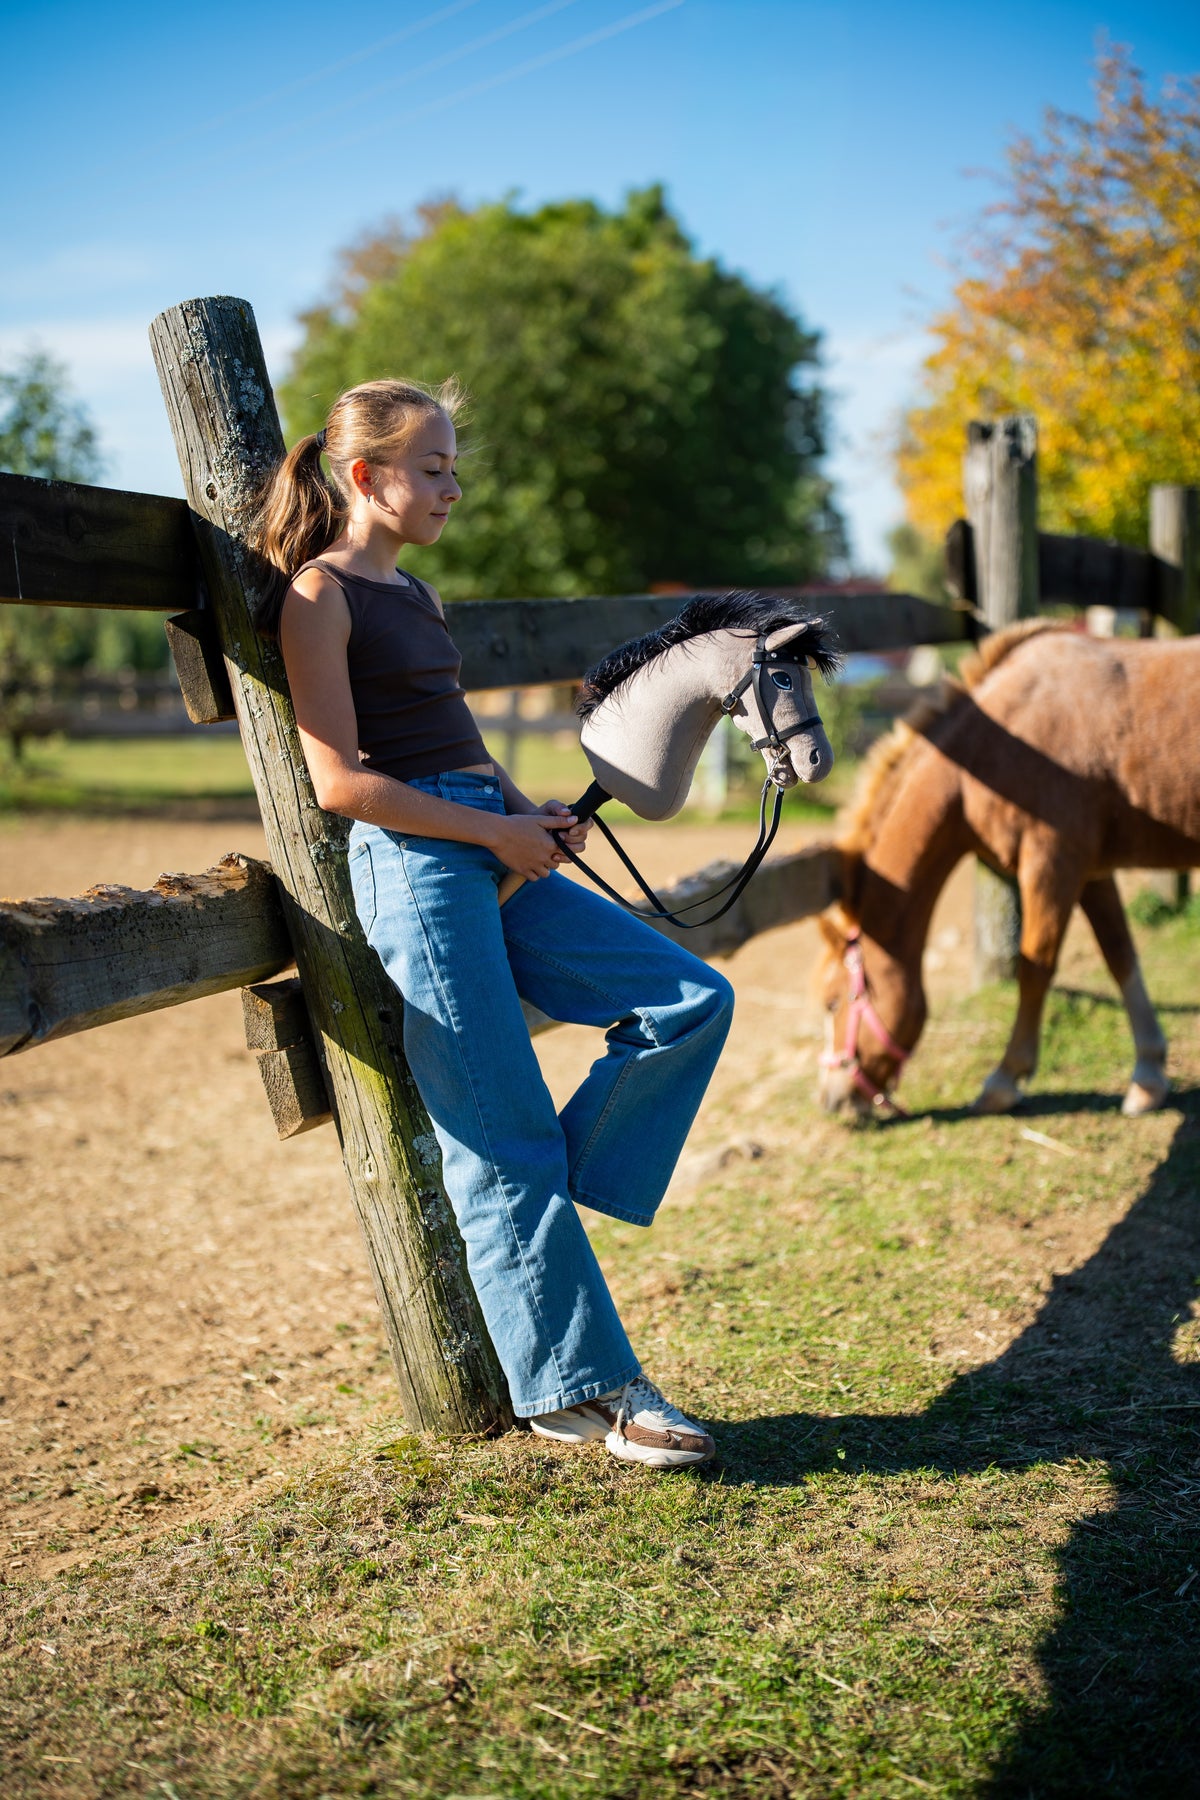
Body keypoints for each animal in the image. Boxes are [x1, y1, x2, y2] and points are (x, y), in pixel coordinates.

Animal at [816, 620, 1200, 1120]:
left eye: (832, 1003)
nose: (830, 1099)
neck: (995, 746)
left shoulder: (1051, 866)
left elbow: (1034, 970)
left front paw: (1005, 1079)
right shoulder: (1092, 873)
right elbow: (1120, 956)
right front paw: (1148, 1076)